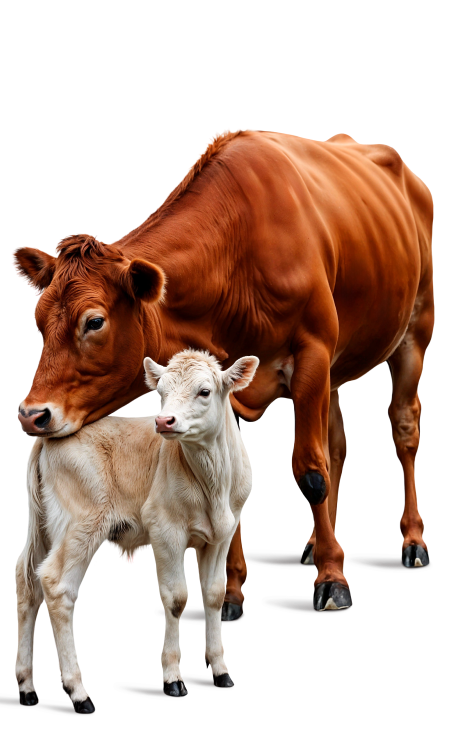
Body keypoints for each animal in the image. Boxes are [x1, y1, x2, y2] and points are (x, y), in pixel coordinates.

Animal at [13, 129, 434, 615]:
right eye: (38, 319)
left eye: (94, 322)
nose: (31, 414)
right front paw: (231, 591)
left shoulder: (312, 350)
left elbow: (311, 473)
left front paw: (333, 579)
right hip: (336, 363)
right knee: (337, 442)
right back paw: (316, 543)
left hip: (415, 327)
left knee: (402, 428)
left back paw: (411, 540)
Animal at [15, 349, 259, 711]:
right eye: (161, 393)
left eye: (204, 391)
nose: (163, 421)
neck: (214, 484)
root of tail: (49, 436)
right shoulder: (165, 528)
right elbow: (177, 597)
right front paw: (172, 678)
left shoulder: (222, 534)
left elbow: (214, 595)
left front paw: (220, 670)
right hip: (82, 521)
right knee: (56, 585)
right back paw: (77, 691)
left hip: (44, 523)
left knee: (27, 580)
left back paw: (27, 686)